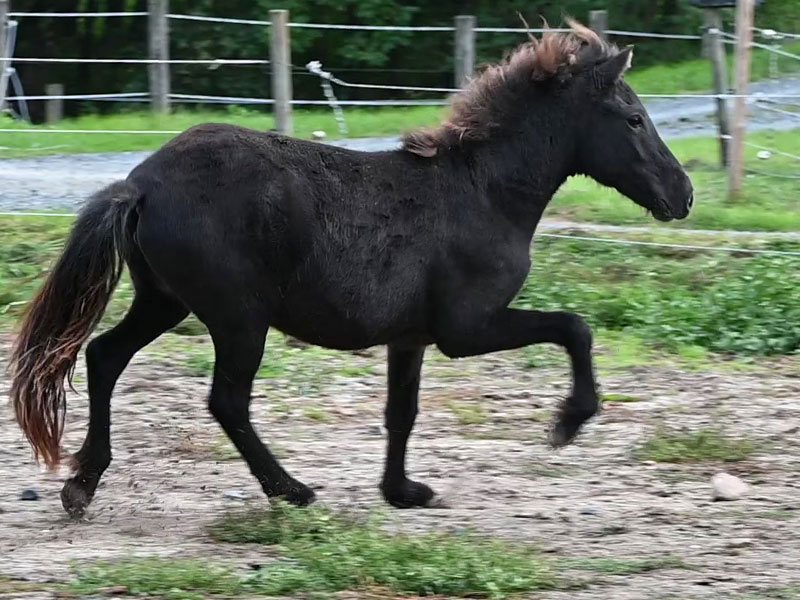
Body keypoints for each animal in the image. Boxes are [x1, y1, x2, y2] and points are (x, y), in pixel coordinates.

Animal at [10, 21, 692, 518]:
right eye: (634, 118)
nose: (682, 195)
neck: (484, 192)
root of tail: (140, 184)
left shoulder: (411, 337)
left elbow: (401, 411)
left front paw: (403, 491)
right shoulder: (467, 328)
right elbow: (575, 327)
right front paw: (569, 422)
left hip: (165, 300)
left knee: (104, 356)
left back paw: (82, 484)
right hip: (237, 318)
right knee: (226, 400)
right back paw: (290, 489)